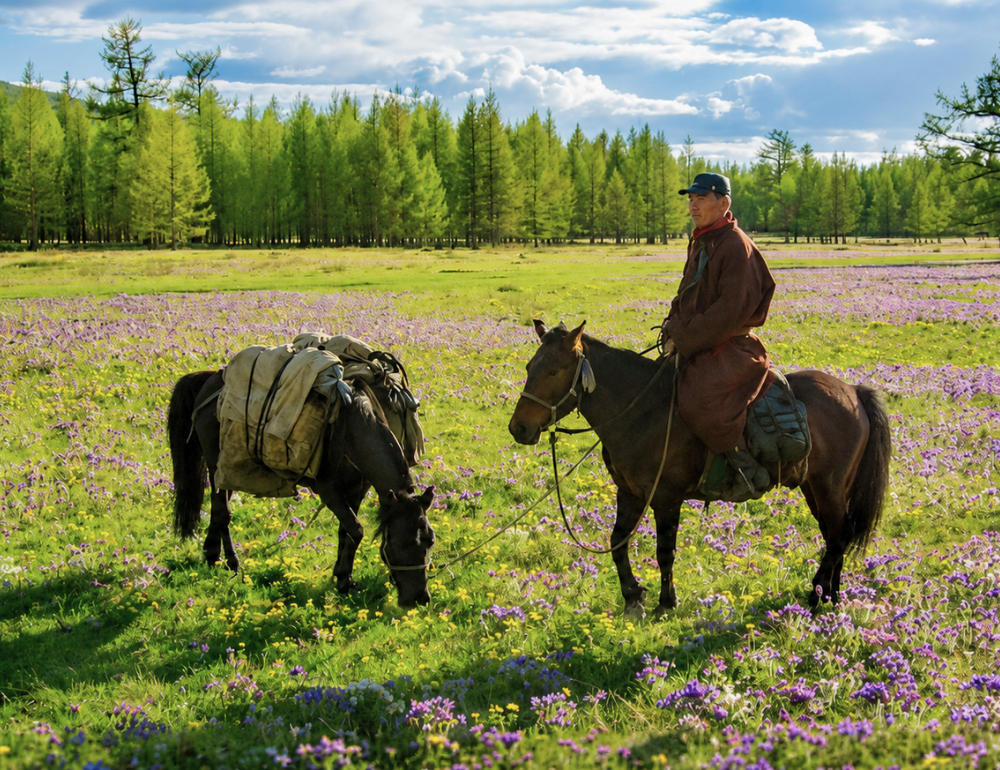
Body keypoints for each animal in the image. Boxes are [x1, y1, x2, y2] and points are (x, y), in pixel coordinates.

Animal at [168, 369, 436, 608]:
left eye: (430, 541)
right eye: (399, 544)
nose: (419, 600)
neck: (351, 429)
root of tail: (210, 379)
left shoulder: (357, 487)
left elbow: (346, 532)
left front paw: (342, 575)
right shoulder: (328, 489)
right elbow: (356, 530)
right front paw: (343, 581)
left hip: (229, 471)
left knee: (216, 511)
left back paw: (212, 556)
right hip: (217, 465)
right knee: (222, 513)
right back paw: (232, 563)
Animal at [508, 321, 891, 618]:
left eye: (554, 371)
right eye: (528, 368)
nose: (519, 429)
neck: (642, 410)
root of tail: (853, 392)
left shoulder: (666, 498)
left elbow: (664, 552)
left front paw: (666, 602)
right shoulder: (629, 492)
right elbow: (617, 542)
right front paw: (633, 596)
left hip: (828, 486)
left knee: (838, 537)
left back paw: (815, 595)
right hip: (817, 488)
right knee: (835, 536)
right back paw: (832, 597)